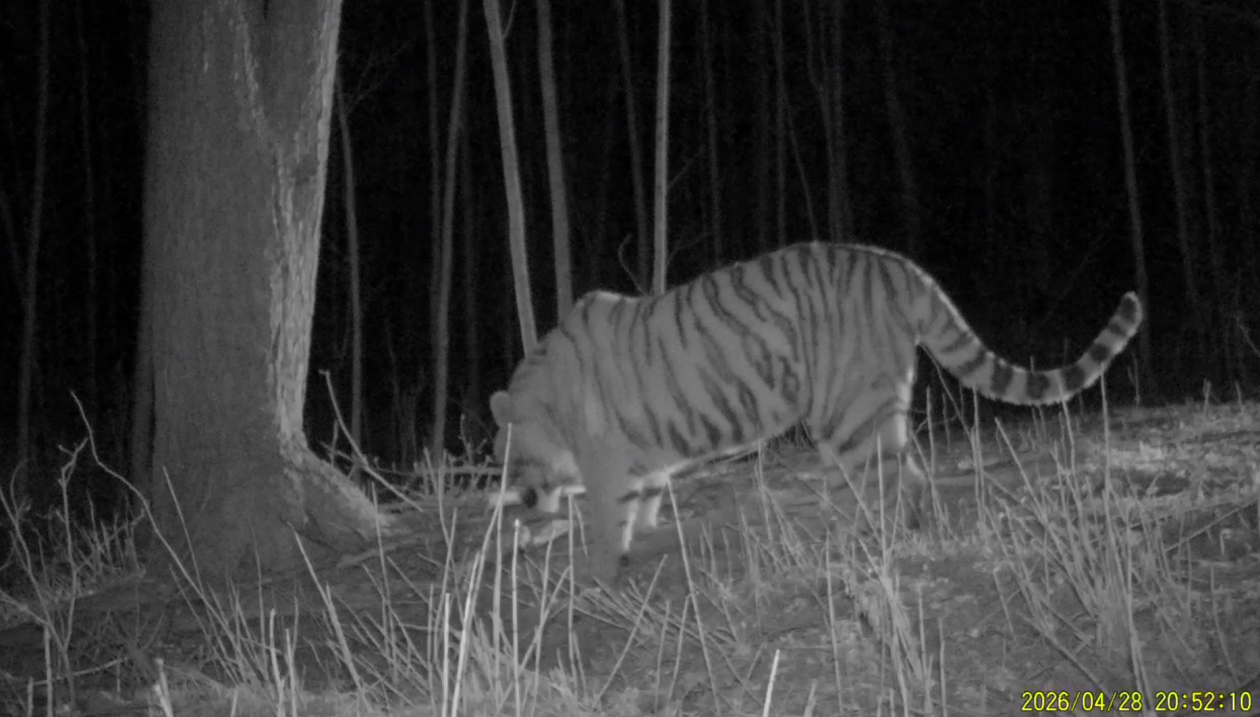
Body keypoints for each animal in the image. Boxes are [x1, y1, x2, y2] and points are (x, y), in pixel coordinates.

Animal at [489, 242, 1143, 585]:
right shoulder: (643, 454)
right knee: (901, 477)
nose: (521, 499)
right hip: (850, 416)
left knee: (893, 482)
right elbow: (648, 495)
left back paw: (882, 546)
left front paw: (594, 573)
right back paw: (857, 540)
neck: (542, 392)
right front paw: (647, 536)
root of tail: (899, 266)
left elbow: (607, 524)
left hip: (850, 413)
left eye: (507, 460)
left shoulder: (605, 462)